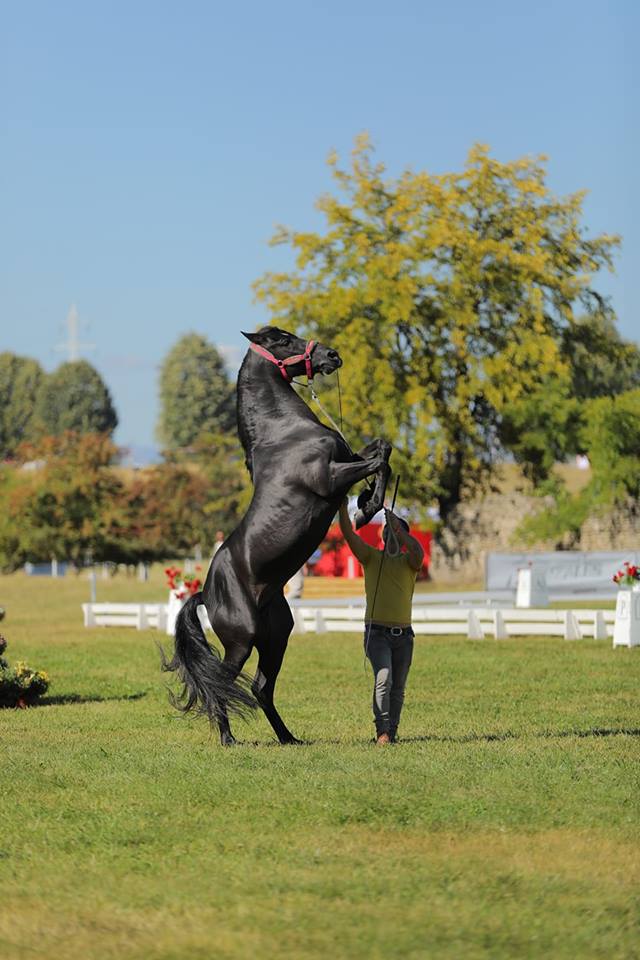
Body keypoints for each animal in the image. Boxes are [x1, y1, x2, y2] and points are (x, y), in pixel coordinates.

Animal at [162, 326, 392, 748]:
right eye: (283, 340)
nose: (331, 356)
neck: (283, 431)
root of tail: (206, 592)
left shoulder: (347, 458)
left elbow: (382, 448)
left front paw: (368, 502)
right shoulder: (331, 476)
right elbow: (379, 461)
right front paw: (367, 507)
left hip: (277, 636)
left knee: (260, 688)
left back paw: (288, 738)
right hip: (243, 639)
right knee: (222, 683)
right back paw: (228, 739)